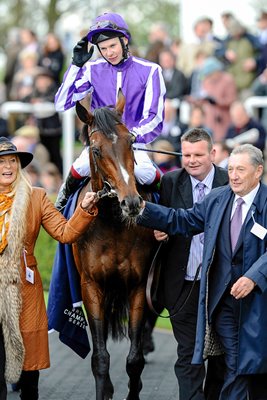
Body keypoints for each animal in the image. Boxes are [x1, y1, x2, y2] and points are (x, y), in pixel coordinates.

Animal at [73, 91, 157, 400]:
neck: (113, 224)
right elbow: (100, 357)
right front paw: (104, 388)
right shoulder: (91, 285)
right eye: (96, 150)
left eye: (131, 142)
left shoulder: (138, 286)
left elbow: (134, 359)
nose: (131, 202)